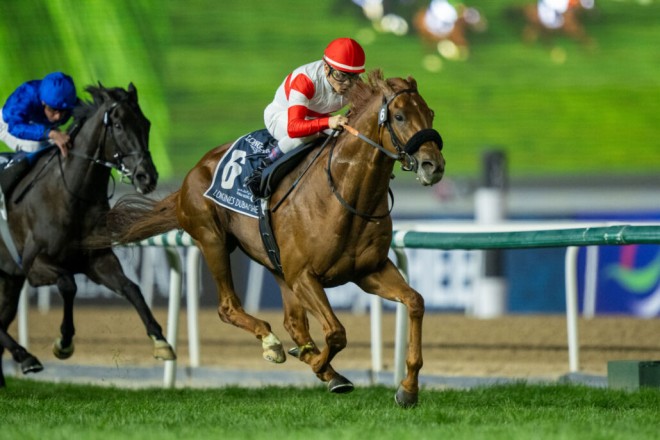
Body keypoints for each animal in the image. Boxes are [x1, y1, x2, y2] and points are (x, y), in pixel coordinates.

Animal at [0, 83, 175, 388]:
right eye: (118, 125)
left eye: (146, 123)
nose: (147, 176)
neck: (71, 194)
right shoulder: (35, 266)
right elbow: (69, 284)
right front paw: (64, 342)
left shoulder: (98, 260)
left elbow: (132, 288)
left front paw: (160, 341)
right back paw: (26, 356)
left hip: (9, 279)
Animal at [101, 70, 445, 407]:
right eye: (399, 116)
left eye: (430, 113)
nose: (434, 166)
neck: (345, 194)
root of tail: (194, 172)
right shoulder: (304, 275)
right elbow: (336, 332)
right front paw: (319, 365)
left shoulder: (369, 271)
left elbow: (415, 302)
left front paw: (408, 388)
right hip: (213, 239)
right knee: (229, 307)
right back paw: (274, 344)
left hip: (275, 264)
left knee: (294, 323)